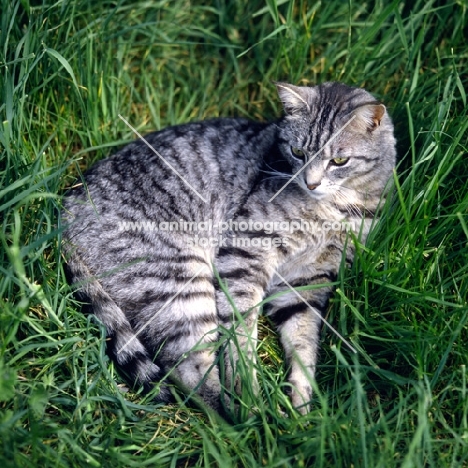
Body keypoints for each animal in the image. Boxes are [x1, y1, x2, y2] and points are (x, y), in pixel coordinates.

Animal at [61, 80, 394, 414]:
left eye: (339, 161)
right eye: (297, 152)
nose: (310, 183)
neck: (340, 208)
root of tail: (69, 204)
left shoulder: (307, 280)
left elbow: (303, 341)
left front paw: (301, 404)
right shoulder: (246, 253)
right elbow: (240, 334)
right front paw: (247, 385)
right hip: (180, 279)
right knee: (188, 368)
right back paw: (245, 416)